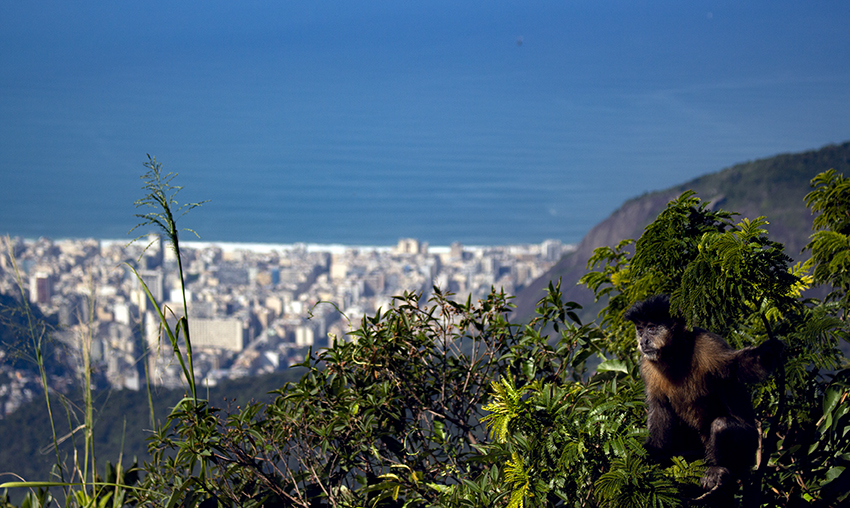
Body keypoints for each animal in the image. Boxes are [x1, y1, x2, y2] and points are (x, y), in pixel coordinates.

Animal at [623, 295, 783, 498]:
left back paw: (719, 471)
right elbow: (660, 409)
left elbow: (739, 366)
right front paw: (652, 452)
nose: (643, 341)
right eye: (640, 329)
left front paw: (769, 350)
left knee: (722, 425)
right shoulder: (647, 366)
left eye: (651, 328)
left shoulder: (709, 344)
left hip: (750, 447)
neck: (675, 354)